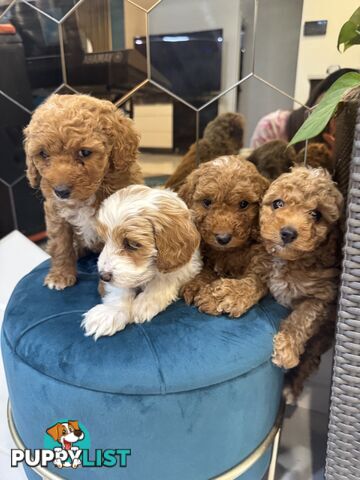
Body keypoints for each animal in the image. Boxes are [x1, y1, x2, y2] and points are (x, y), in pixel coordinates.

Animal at [23, 93, 143, 288]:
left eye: (85, 152)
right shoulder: (55, 213)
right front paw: (60, 276)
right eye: (43, 154)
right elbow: (60, 244)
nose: (61, 191)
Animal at [81, 183, 201, 338]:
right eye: (104, 241)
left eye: (132, 244)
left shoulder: (188, 265)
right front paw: (110, 312)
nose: (103, 276)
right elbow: (119, 288)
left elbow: (164, 280)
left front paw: (145, 303)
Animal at [179, 156, 270, 316]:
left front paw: (220, 297)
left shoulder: (262, 264)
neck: (228, 252)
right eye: (207, 202)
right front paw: (196, 283)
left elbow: (253, 282)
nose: (223, 238)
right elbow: (206, 268)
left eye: (244, 204)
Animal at [260, 167, 342, 396]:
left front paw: (286, 349)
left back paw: (290, 388)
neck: (288, 261)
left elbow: (302, 318)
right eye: (278, 203)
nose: (288, 233)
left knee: (310, 359)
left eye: (316, 214)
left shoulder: (323, 296)